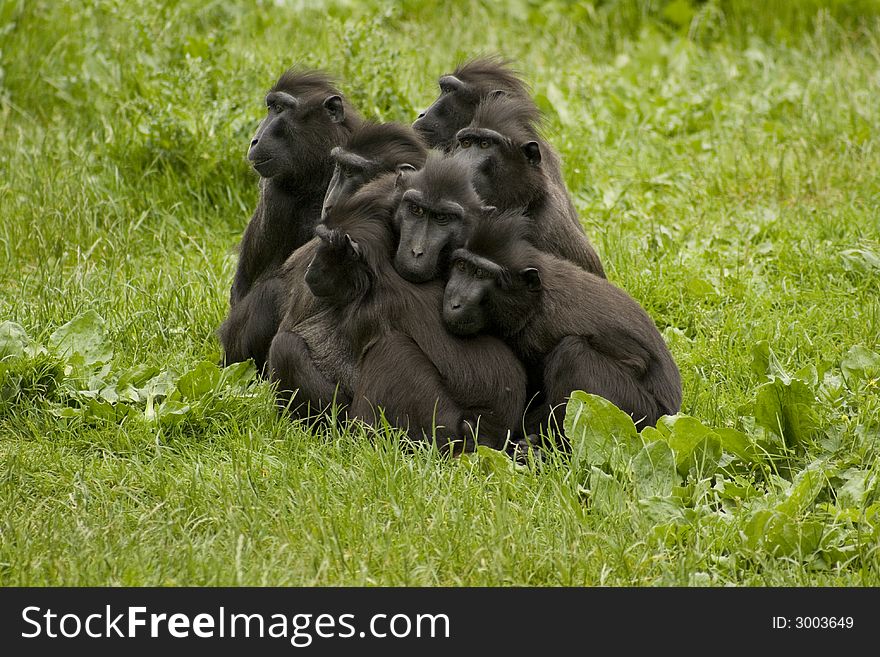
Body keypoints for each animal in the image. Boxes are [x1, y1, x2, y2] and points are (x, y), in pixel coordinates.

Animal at [444, 210, 684, 436]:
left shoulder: (540, 332)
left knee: (573, 354)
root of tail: (667, 418)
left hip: (639, 414)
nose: (453, 302)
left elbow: (637, 361)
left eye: (481, 273)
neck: (535, 302)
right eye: (462, 266)